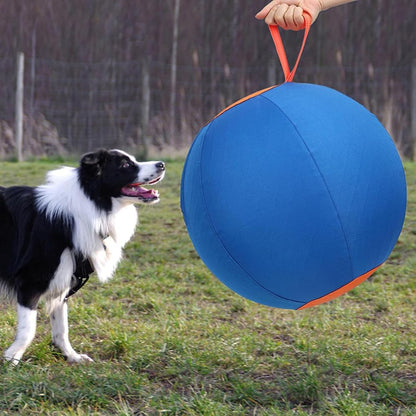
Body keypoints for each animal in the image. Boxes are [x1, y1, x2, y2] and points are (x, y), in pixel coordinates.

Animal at [0, 150, 166, 364]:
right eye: (125, 164)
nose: (162, 164)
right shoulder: (31, 283)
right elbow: (28, 329)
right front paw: (12, 358)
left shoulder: (64, 282)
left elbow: (61, 328)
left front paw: (71, 356)